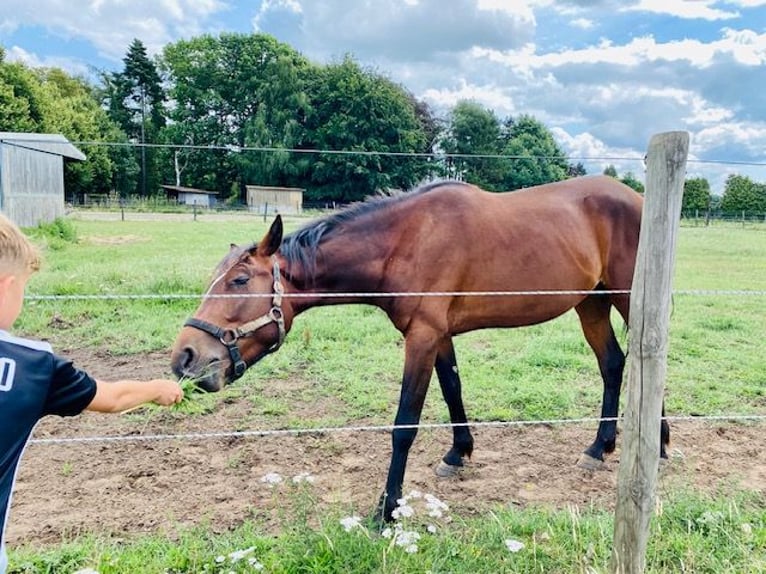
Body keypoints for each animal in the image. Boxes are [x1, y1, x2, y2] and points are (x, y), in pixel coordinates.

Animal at [171, 176, 668, 520]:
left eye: (239, 280)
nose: (185, 358)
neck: (405, 240)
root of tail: (639, 199)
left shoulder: (423, 337)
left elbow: (404, 425)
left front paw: (387, 508)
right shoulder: (439, 336)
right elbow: (453, 391)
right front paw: (458, 454)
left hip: (628, 299)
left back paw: (654, 443)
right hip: (591, 303)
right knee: (614, 365)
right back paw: (602, 447)